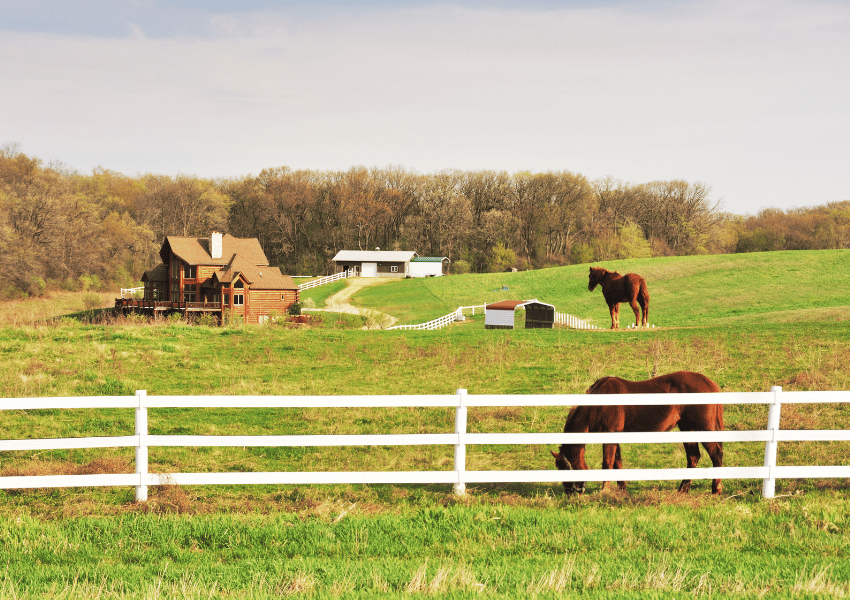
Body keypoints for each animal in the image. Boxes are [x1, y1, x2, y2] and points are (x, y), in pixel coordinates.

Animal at [548, 372, 724, 494]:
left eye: (564, 470)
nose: (570, 494)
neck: (597, 405)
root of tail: (709, 383)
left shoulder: (609, 434)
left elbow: (607, 463)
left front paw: (605, 490)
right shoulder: (615, 436)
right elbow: (617, 463)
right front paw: (622, 489)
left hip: (703, 428)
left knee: (716, 454)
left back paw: (716, 489)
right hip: (687, 428)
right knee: (693, 457)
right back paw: (683, 489)